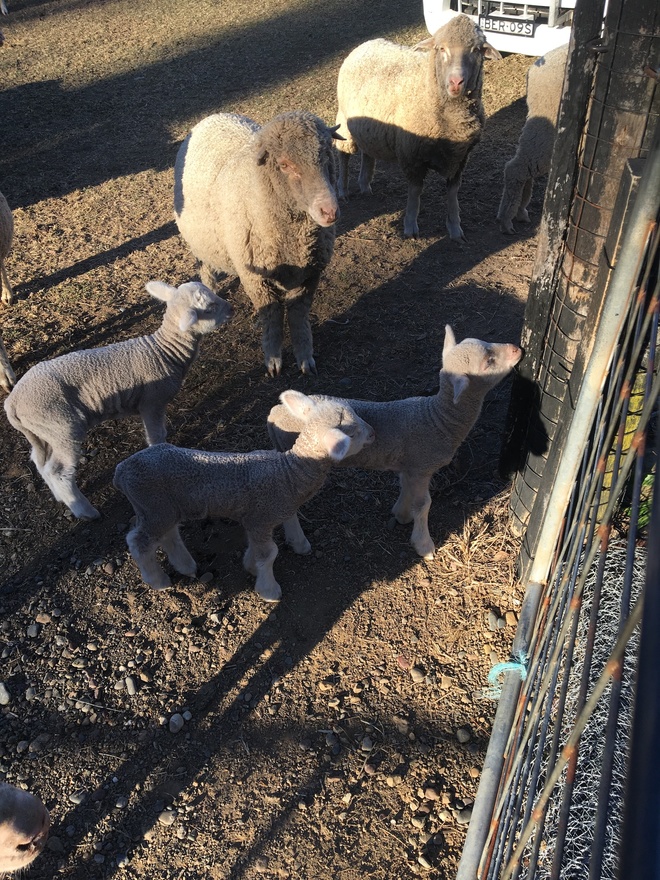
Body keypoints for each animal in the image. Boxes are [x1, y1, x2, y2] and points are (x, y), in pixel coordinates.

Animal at [4, 280, 231, 520]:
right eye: (210, 307)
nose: (232, 308)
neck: (164, 351)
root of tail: (12, 403)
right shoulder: (152, 402)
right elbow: (157, 435)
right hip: (61, 426)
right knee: (58, 471)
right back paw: (84, 510)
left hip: (41, 431)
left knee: (41, 463)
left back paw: (61, 498)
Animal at [113, 390, 375, 601]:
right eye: (352, 432)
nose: (372, 432)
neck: (289, 472)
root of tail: (121, 470)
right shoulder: (260, 519)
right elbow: (269, 553)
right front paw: (269, 590)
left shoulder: (260, 516)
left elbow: (264, 545)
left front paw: (251, 565)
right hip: (153, 506)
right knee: (138, 542)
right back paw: (158, 580)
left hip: (164, 508)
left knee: (168, 534)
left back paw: (185, 566)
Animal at [174, 110, 343, 377]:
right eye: (284, 164)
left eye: (327, 154)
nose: (330, 212)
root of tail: (215, 116)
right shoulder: (255, 278)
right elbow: (271, 317)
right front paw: (273, 361)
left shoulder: (309, 274)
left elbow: (298, 317)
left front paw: (305, 358)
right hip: (200, 244)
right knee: (206, 270)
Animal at [268, 326, 522, 560]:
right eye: (489, 362)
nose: (518, 349)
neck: (438, 419)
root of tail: (275, 413)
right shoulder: (421, 467)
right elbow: (424, 504)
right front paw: (423, 544)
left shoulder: (410, 466)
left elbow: (405, 487)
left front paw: (401, 514)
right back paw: (299, 542)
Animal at [334, 14, 501, 240]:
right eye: (441, 48)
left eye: (476, 50)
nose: (456, 82)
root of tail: (365, 44)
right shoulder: (412, 154)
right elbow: (415, 192)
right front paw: (410, 226)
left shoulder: (460, 157)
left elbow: (453, 194)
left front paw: (455, 227)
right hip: (344, 122)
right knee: (343, 155)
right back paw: (342, 190)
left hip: (369, 127)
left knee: (368, 153)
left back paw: (365, 185)